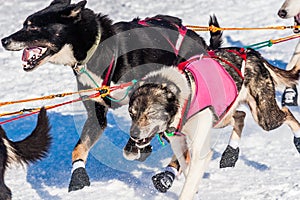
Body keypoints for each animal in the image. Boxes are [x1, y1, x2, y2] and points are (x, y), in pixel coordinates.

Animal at [0, 0, 223, 191]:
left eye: (33, 27)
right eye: (25, 24)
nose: (4, 40)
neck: (96, 51)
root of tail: (201, 42)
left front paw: (137, 148)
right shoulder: (96, 113)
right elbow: (79, 148)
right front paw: (78, 177)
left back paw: (167, 174)